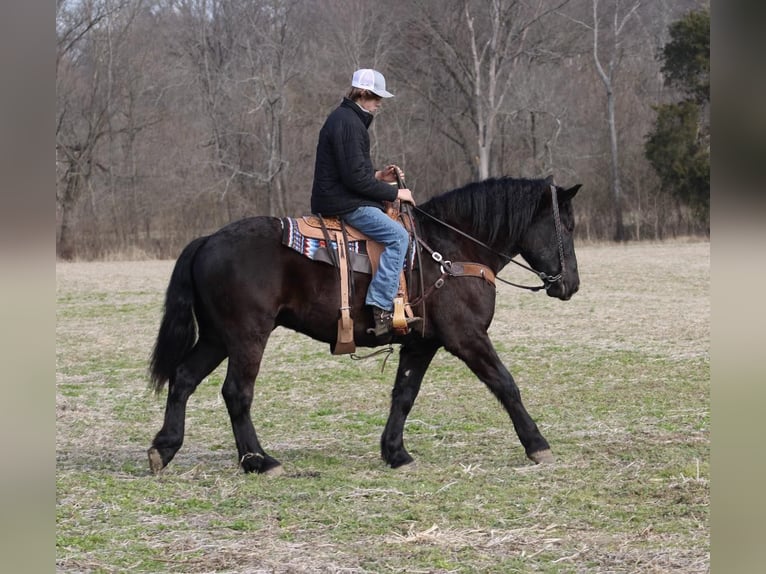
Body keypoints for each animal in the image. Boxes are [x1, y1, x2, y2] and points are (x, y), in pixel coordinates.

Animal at [148, 177, 584, 476]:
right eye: (568, 226)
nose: (571, 284)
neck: (450, 251)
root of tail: (207, 241)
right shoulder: (468, 337)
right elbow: (506, 385)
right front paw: (537, 444)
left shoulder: (421, 344)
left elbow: (403, 395)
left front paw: (395, 452)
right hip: (247, 337)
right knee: (237, 392)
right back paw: (259, 460)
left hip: (217, 337)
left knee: (184, 378)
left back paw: (164, 448)